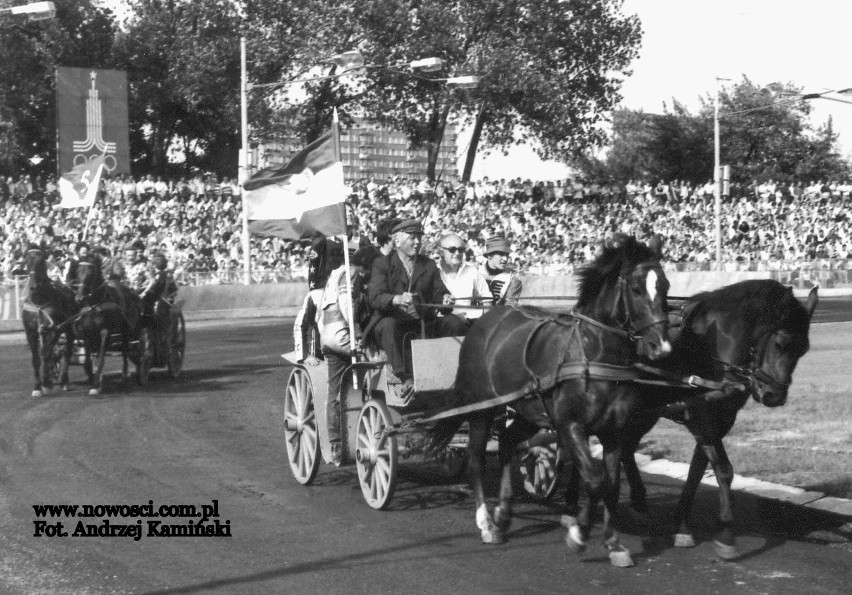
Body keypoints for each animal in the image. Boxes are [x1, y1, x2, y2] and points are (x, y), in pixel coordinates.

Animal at [20, 249, 79, 398]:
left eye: (41, 261)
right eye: (27, 261)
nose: (33, 286)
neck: (39, 303)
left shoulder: (55, 329)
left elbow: (46, 354)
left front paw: (46, 384)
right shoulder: (31, 332)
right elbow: (36, 358)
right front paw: (37, 387)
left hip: (69, 328)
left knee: (67, 351)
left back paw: (64, 381)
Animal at [73, 253, 143, 396]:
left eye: (90, 273)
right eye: (77, 272)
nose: (79, 298)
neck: (95, 305)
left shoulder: (105, 331)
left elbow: (101, 357)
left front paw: (96, 385)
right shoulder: (88, 333)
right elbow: (91, 357)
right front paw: (96, 379)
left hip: (127, 329)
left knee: (126, 350)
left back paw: (126, 376)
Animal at [426, 234, 672, 568]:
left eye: (666, 286)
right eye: (635, 289)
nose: (662, 348)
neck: (592, 352)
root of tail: (486, 321)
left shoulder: (614, 431)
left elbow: (610, 483)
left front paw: (613, 542)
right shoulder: (570, 425)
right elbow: (595, 480)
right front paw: (579, 534)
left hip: (527, 411)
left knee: (507, 442)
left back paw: (503, 515)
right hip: (482, 409)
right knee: (476, 460)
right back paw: (487, 522)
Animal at [608, 280, 816, 560]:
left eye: (804, 349)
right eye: (780, 344)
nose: (774, 396)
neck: (707, 346)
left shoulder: (720, 419)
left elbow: (697, 470)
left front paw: (682, 523)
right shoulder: (702, 418)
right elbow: (724, 470)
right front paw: (726, 532)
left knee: (626, 447)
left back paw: (638, 502)